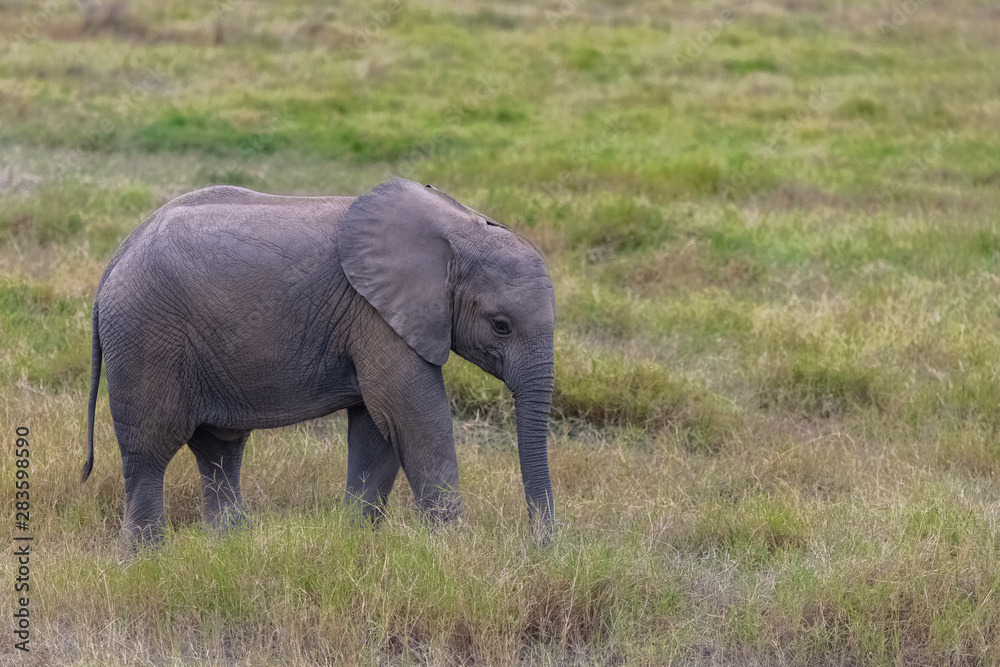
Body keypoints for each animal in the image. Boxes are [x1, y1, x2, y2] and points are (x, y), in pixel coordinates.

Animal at [82, 178, 556, 549]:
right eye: (501, 326)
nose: (541, 547)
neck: (457, 226)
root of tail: (112, 264)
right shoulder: (376, 315)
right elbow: (414, 418)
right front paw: (454, 552)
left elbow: (378, 428)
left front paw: (356, 542)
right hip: (146, 338)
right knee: (149, 453)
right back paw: (147, 560)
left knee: (219, 449)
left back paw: (229, 548)